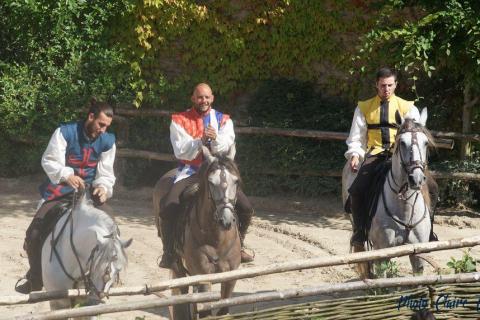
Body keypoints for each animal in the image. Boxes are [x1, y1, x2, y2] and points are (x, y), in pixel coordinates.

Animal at [154, 146, 242, 320]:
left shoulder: (230, 278)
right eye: (211, 182)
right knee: (182, 288)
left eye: (235, 181)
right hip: (177, 263)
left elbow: (224, 310)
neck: (217, 239)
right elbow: (206, 311)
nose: (226, 220)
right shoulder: (203, 278)